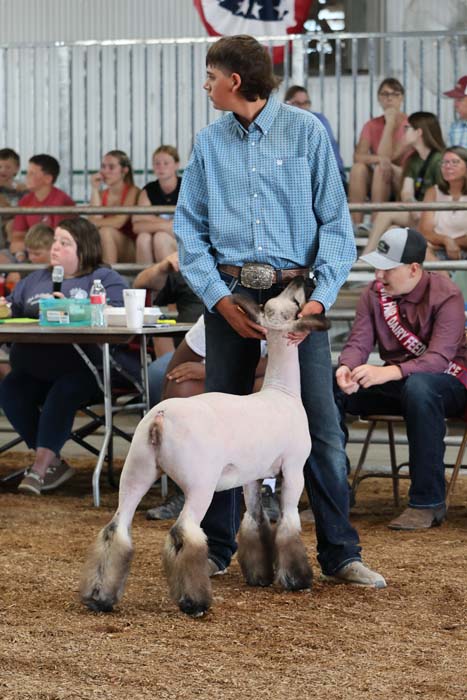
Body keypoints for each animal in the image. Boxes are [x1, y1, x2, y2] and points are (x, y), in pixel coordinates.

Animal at [79, 276, 330, 617]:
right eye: (293, 304)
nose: (301, 279)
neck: (281, 392)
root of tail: (160, 419)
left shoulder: (252, 475)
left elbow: (255, 520)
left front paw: (260, 575)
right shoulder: (293, 468)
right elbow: (288, 522)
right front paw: (298, 579)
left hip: (136, 470)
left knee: (115, 528)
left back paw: (99, 597)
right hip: (200, 483)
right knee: (183, 532)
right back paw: (194, 602)